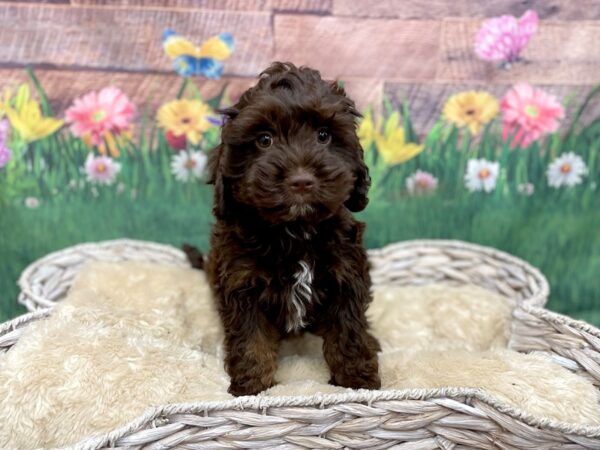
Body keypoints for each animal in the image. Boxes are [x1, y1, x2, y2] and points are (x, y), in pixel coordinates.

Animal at [192, 61, 380, 396]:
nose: (301, 181)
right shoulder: (241, 281)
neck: (294, 231)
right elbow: (251, 338)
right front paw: (252, 386)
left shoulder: (347, 274)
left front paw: (357, 380)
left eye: (324, 136)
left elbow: (348, 330)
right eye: (264, 140)